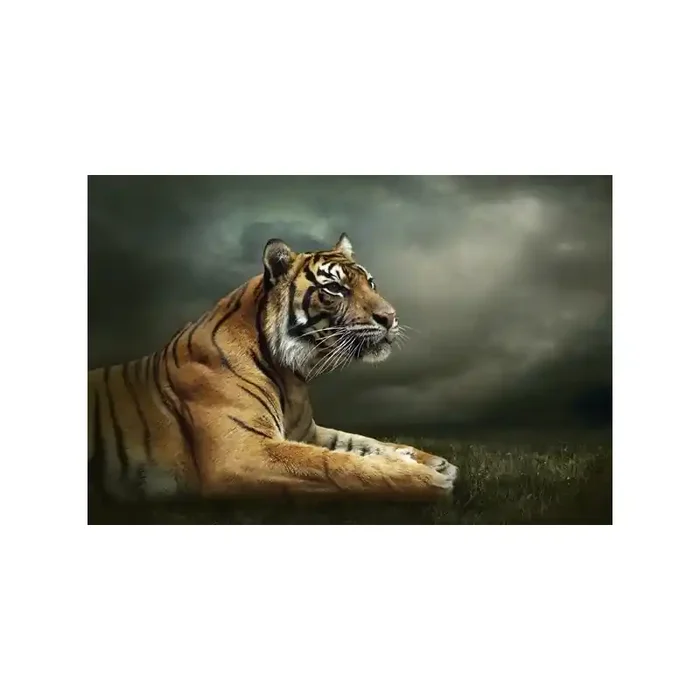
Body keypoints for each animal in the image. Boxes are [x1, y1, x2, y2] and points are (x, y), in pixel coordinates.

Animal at [88, 233, 459, 502]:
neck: (290, 374)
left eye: (371, 283)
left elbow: (362, 443)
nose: (390, 317)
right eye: (334, 288)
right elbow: (334, 465)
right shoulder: (243, 451)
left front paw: (431, 460)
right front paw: (426, 478)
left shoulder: (306, 432)